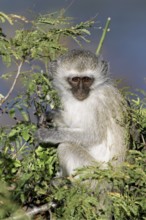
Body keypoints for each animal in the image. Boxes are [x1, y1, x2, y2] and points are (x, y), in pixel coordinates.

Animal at [37, 49, 128, 177]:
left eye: (86, 79)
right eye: (75, 79)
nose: (81, 91)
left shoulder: (98, 103)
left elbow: (92, 136)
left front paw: (47, 134)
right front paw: (51, 115)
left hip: (93, 173)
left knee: (65, 147)